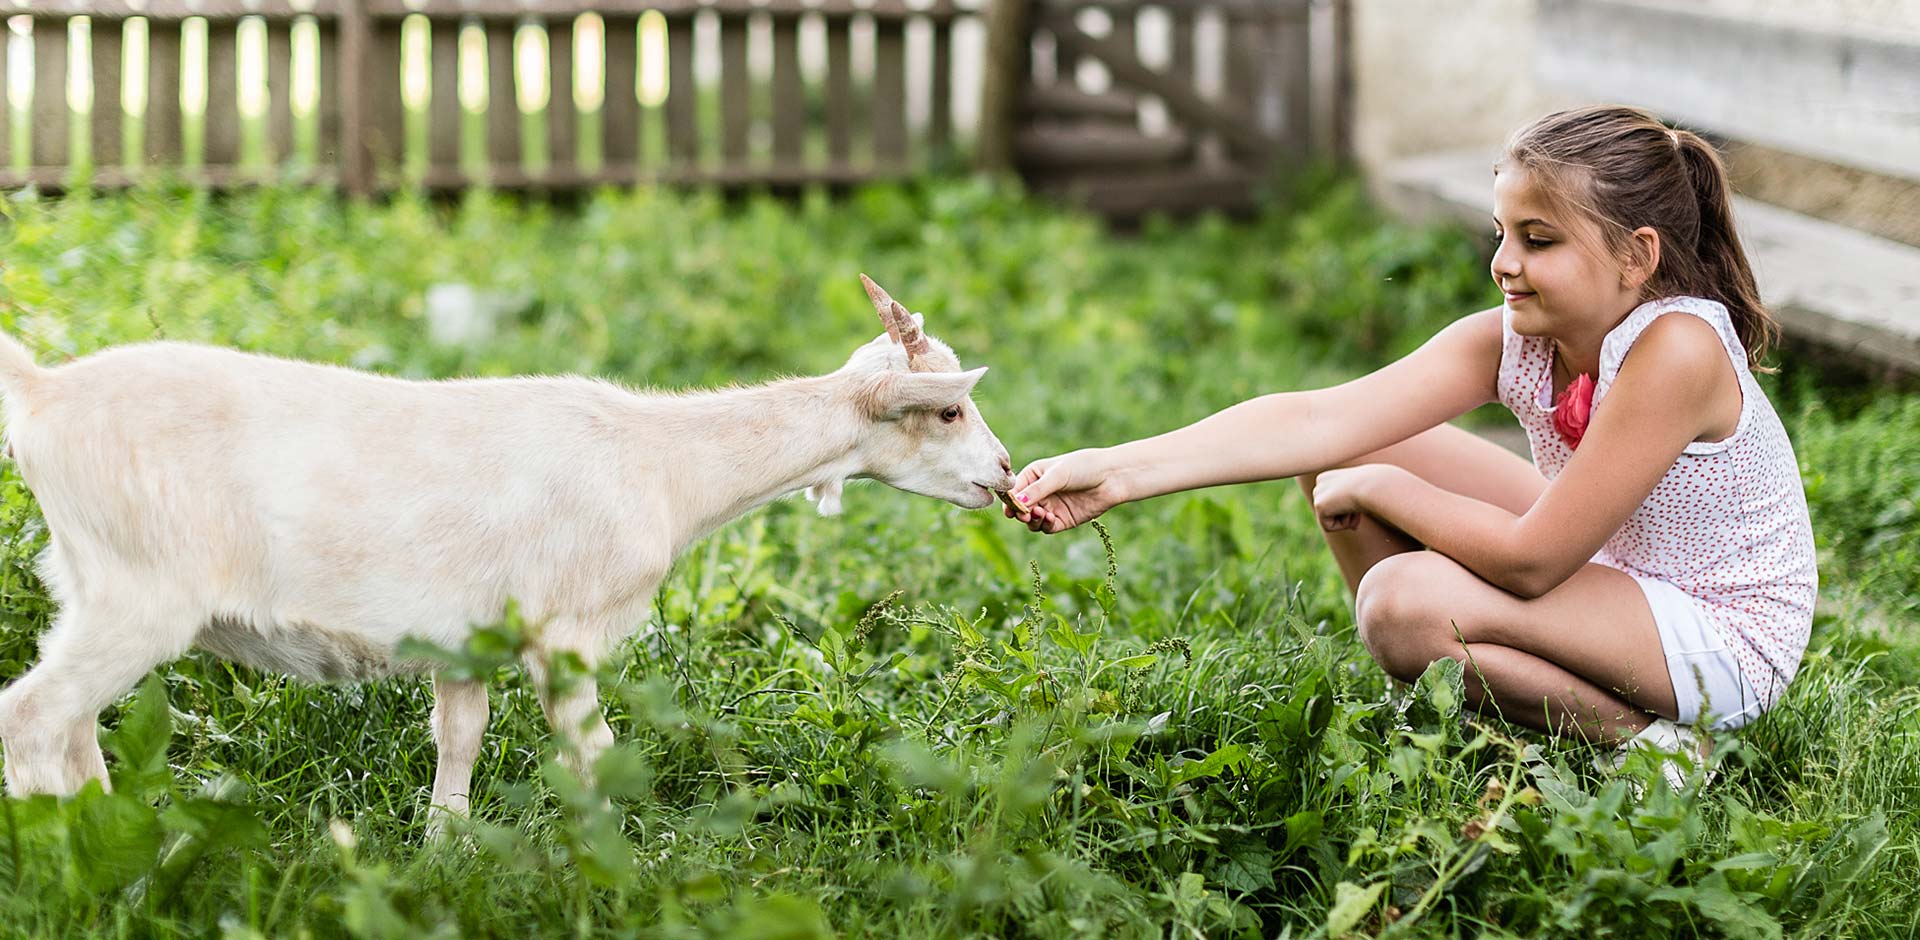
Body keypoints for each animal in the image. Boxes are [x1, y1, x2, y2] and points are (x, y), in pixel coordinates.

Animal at [0, 276, 1021, 832]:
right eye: (949, 410)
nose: (1008, 475)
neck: (662, 462)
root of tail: (44, 394)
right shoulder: (565, 629)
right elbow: (593, 751)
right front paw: (615, 863)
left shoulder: (468, 640)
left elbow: (459, 741)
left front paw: (442, 848)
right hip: (141, 592)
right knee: (33, 716)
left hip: (91, 587)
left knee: (72, 724)